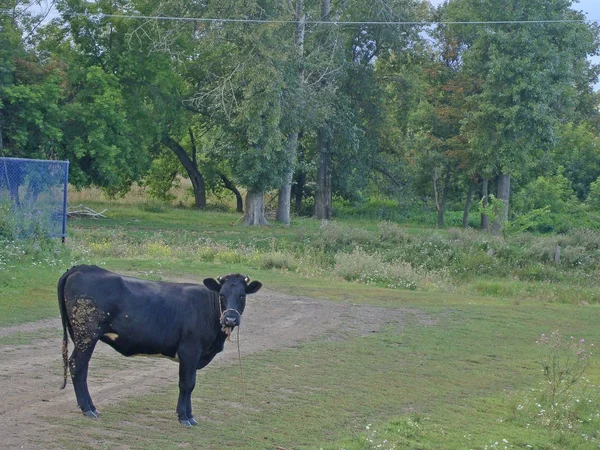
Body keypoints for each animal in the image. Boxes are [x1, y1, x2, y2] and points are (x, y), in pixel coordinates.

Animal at [57, 266, 262, 428]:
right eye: (222, 295)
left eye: (242, 295)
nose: (230, 319)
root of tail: (83, 268)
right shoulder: (190, 351)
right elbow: (187, 384)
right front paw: (184, 417)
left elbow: (191, 384)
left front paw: (189, 415)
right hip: (87, 335)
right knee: (78, 366)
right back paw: (88, 408)